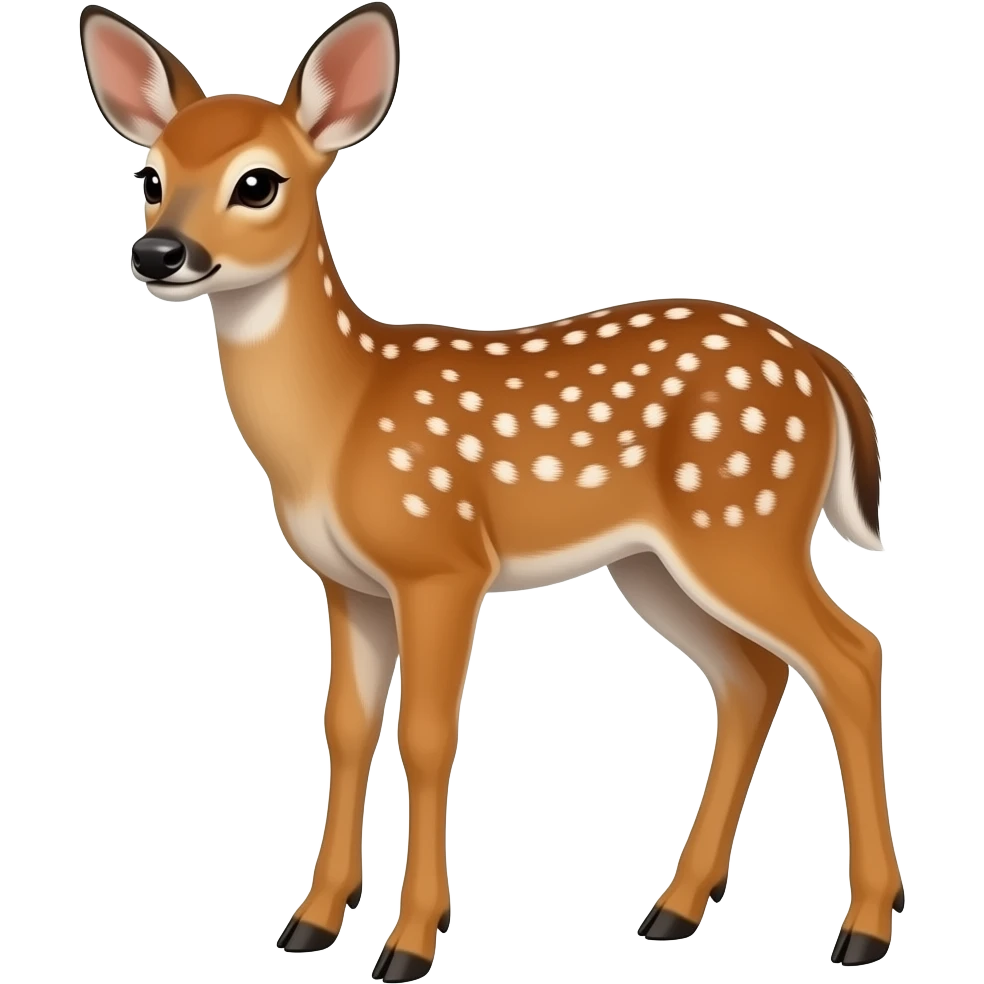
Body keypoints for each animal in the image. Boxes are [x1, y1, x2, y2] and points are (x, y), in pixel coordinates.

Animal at [79, 1, 898, 976]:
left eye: (258, 182)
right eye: (150, 176)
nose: (161, 251)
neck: (342, 418)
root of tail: (824, 367)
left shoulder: (441, 559)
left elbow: (429, 738)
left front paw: (409, 943)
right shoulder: (348, 584)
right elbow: (346, 728)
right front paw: (311, 921)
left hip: (744, 519)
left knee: (850, 656)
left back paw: (863, 928)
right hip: (657, 562)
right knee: (753, 676)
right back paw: (674, 909)